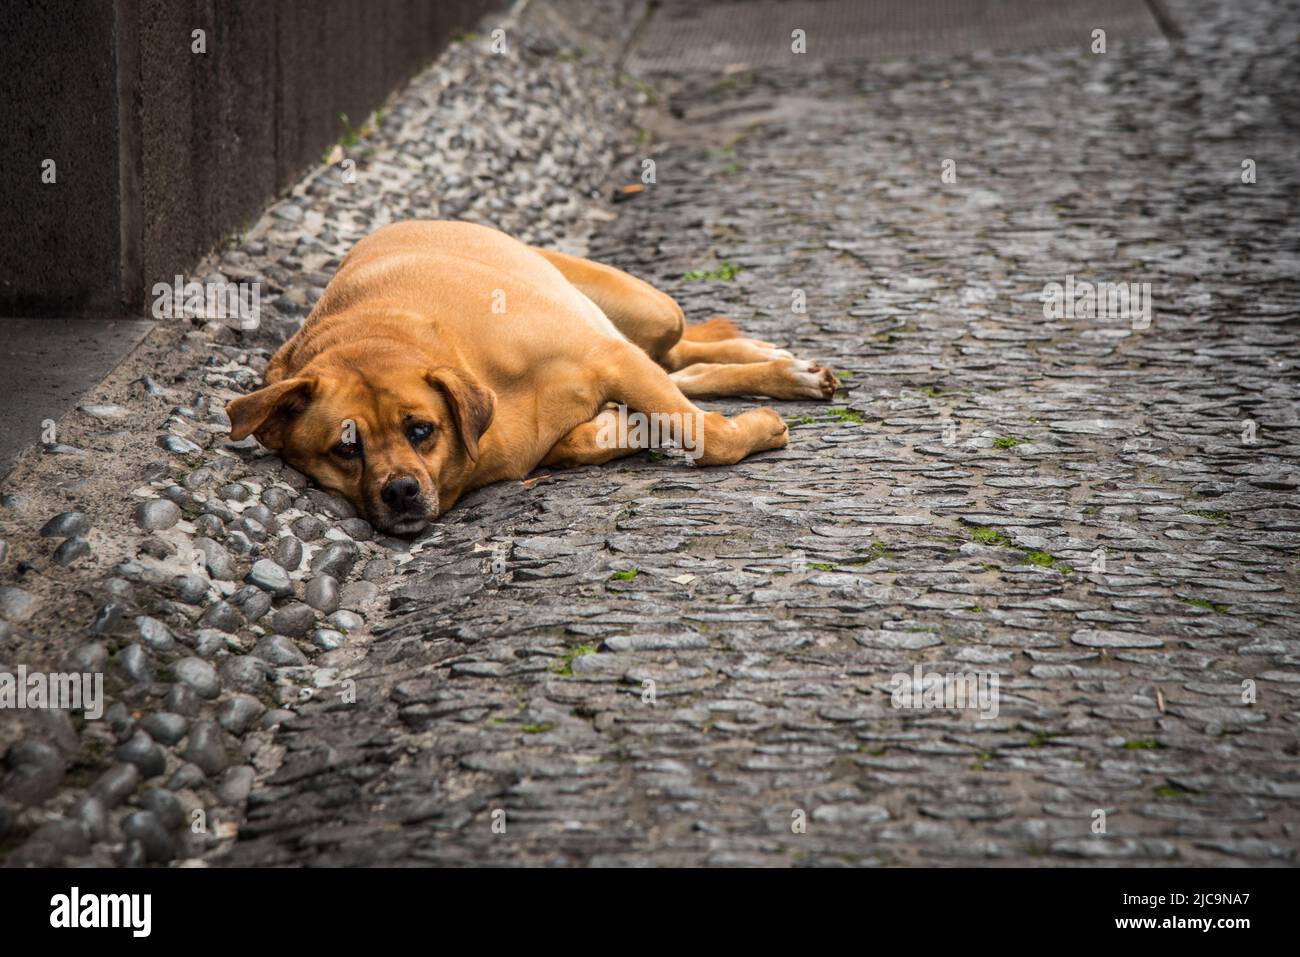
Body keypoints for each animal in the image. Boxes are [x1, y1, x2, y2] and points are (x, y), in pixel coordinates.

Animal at [227, 223, 837, 538]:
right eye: (344, 449)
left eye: (422, 430)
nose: (399, 492)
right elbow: (601, 435)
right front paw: (626, 429)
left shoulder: (611, 357)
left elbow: (709, 437)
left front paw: (754, 426)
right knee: (685, 371)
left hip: (652, 312)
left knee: (678, 353)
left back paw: (775, 366)